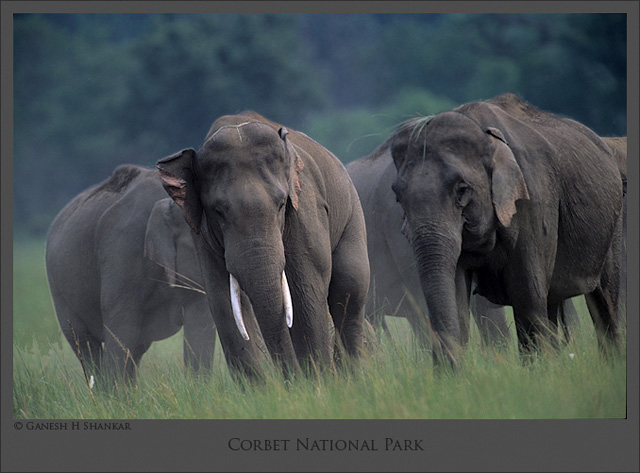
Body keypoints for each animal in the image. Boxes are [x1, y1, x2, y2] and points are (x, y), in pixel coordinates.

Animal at [45, 164, 216, 385]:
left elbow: (199, 324)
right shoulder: (121, 248)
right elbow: (121, 325)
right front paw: (114, 394)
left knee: (136, 348)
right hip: (59, 287)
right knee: (85, 342)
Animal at [156, 111, 369, 381]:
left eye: (281, 204)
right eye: (219, 212)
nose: (290, 381)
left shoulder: (304, 210)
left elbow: (305, 293)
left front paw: (317, 383)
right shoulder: (201, 233)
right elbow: (223, 302)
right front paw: (262, 387)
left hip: (353, 215)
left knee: (349, 293)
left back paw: (351, 377)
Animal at [387, 93, 624, 366]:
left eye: (462, 189)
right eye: (397, 196)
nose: (451, 370)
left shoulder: (534, 201)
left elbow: (528, 297)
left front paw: (536, 371)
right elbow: (456, 296)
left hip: (613, 224)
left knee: (604, 302)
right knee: (552, 302)